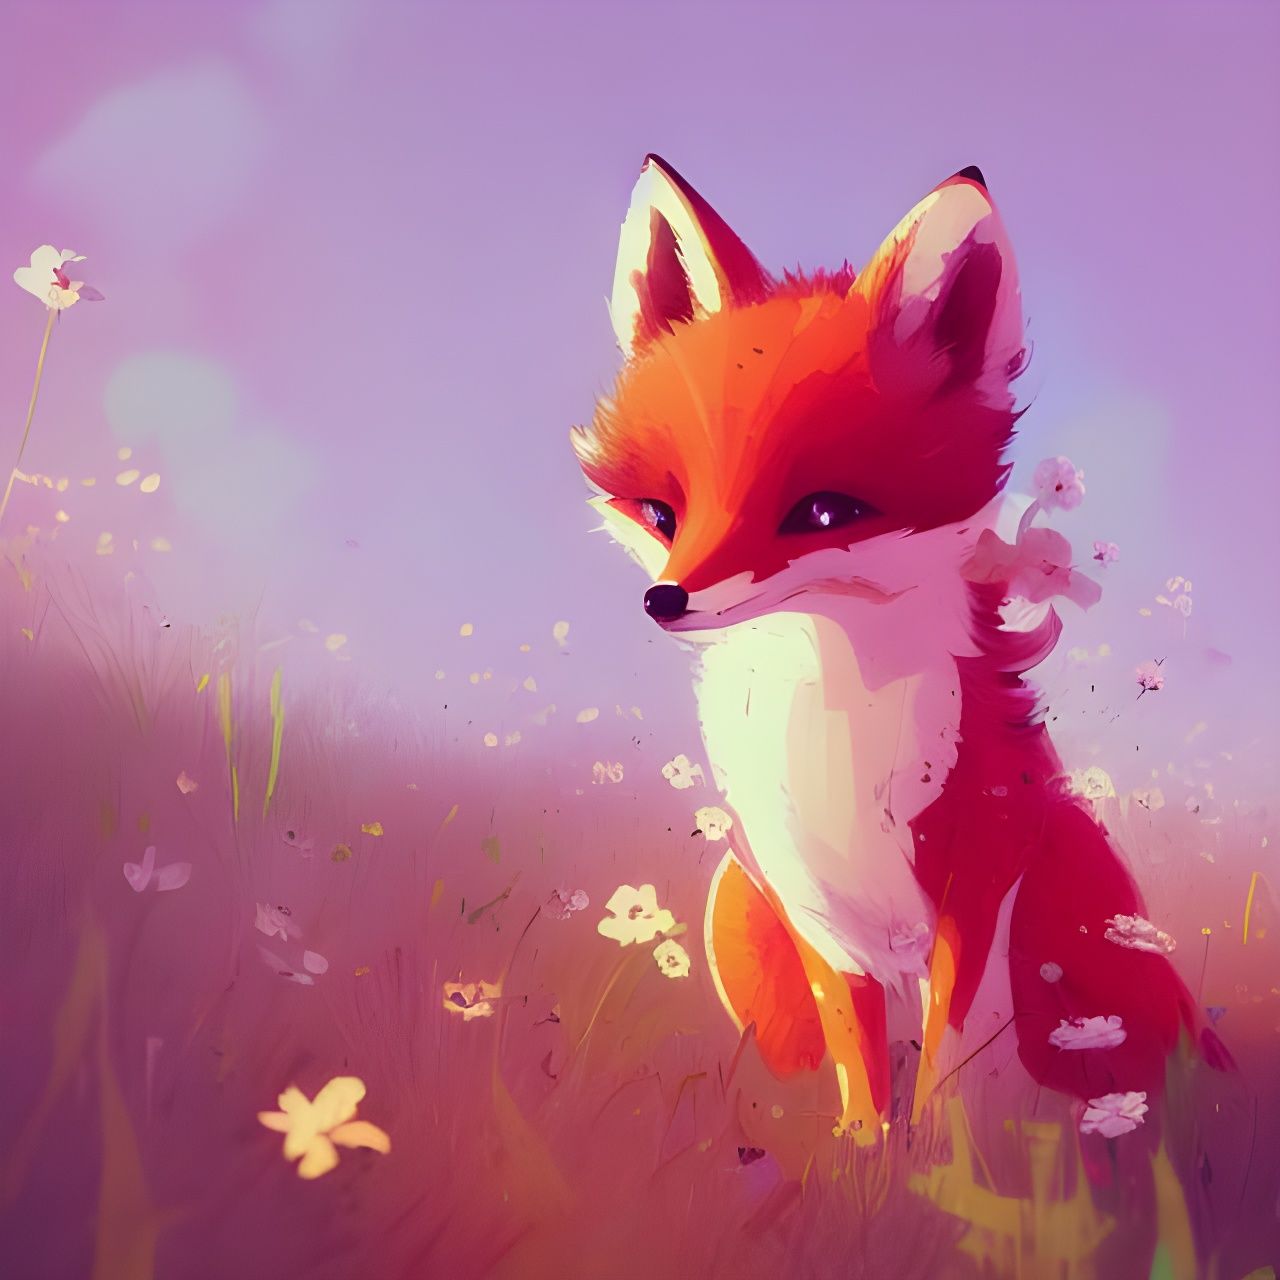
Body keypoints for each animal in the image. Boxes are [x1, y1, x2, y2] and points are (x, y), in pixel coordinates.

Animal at [570, 156, 1229, 1182]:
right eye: (662, 513)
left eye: (823, 511)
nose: (665, 600)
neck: (829, 725)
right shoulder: (815, 911)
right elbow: (859, 1063)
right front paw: (863, 1167)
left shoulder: (978, 890)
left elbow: (953, 1072)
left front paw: (948, 1178)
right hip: (736, 901)